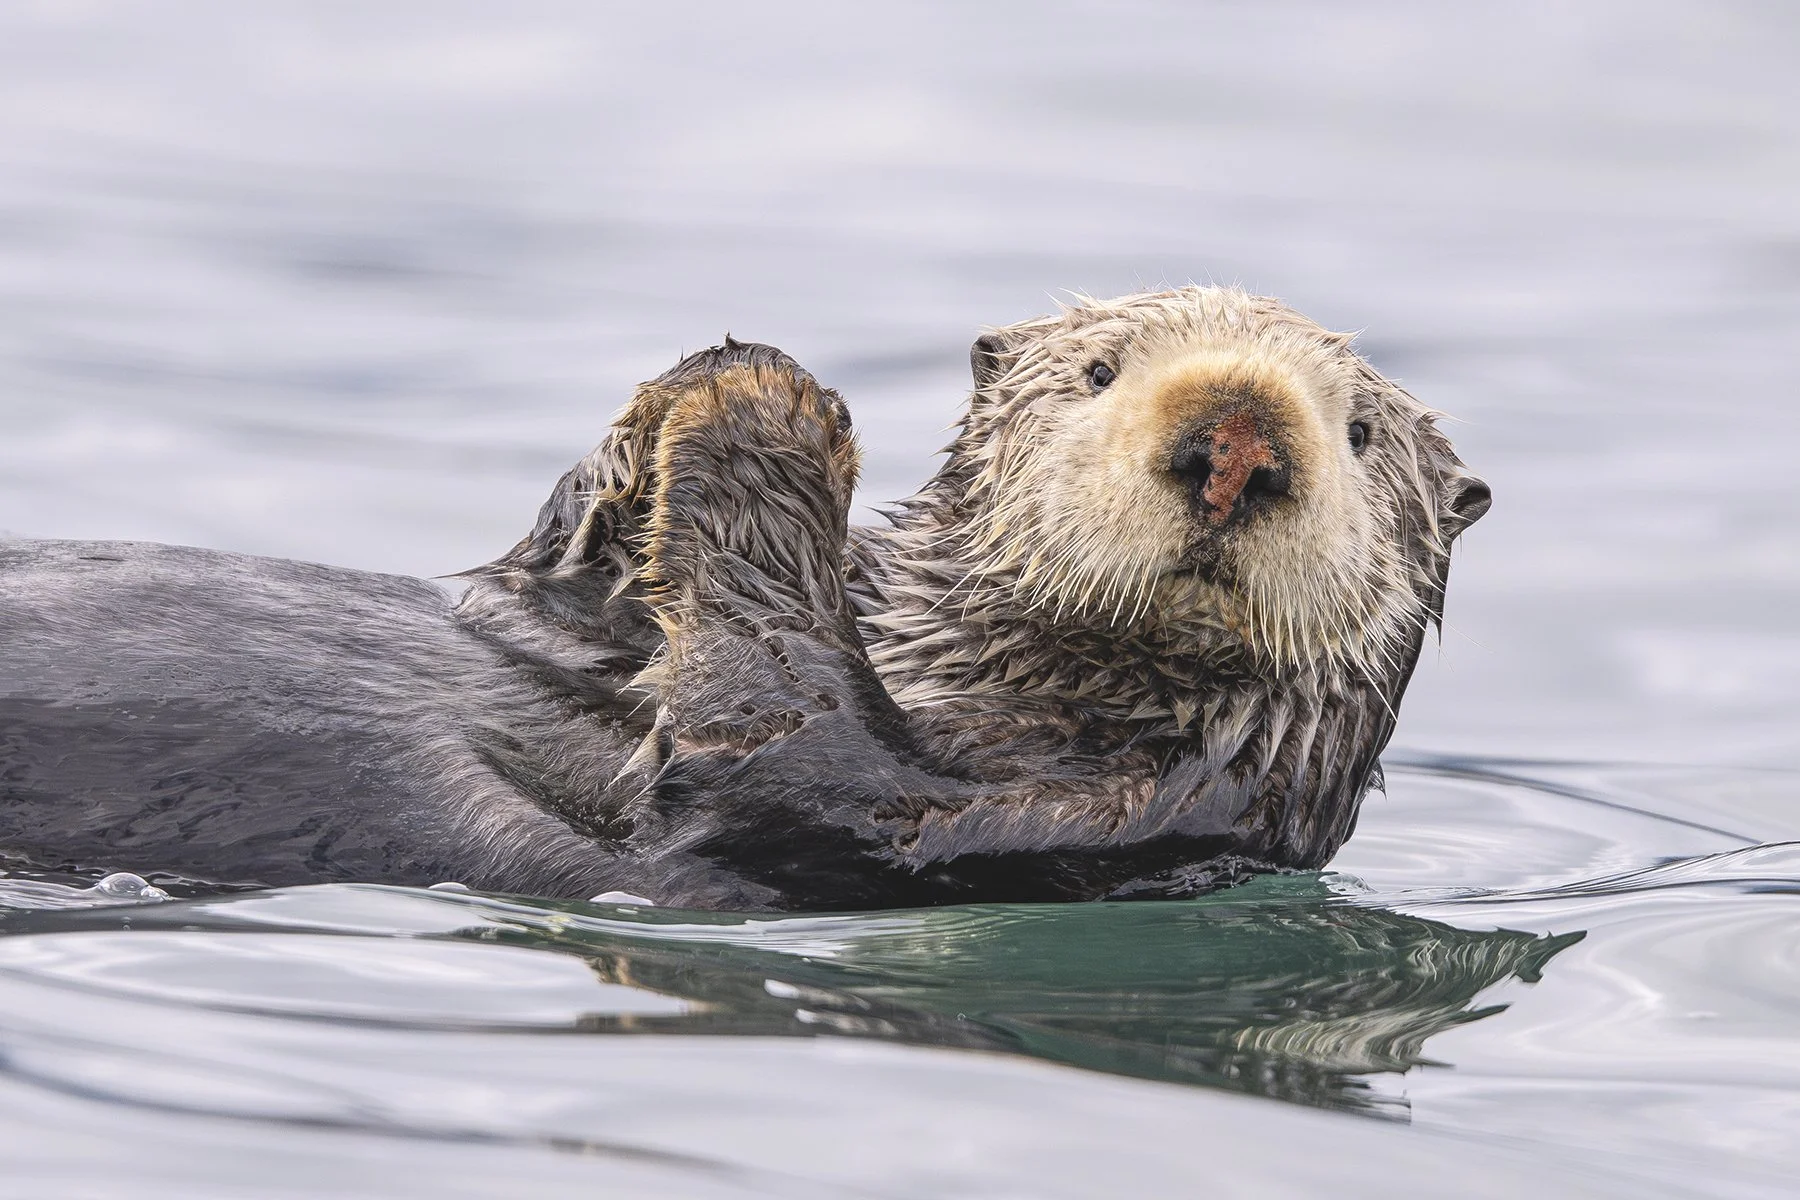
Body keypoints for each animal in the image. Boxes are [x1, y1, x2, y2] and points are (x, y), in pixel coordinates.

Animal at [0, 288, 1489, 910]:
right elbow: (561, 581)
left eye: (1359, 433)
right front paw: (693, 388)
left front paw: (767, 418)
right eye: (1101, 371)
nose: (1236, 438)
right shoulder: (574, 613)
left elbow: (781, 744)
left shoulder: (1067, 815)